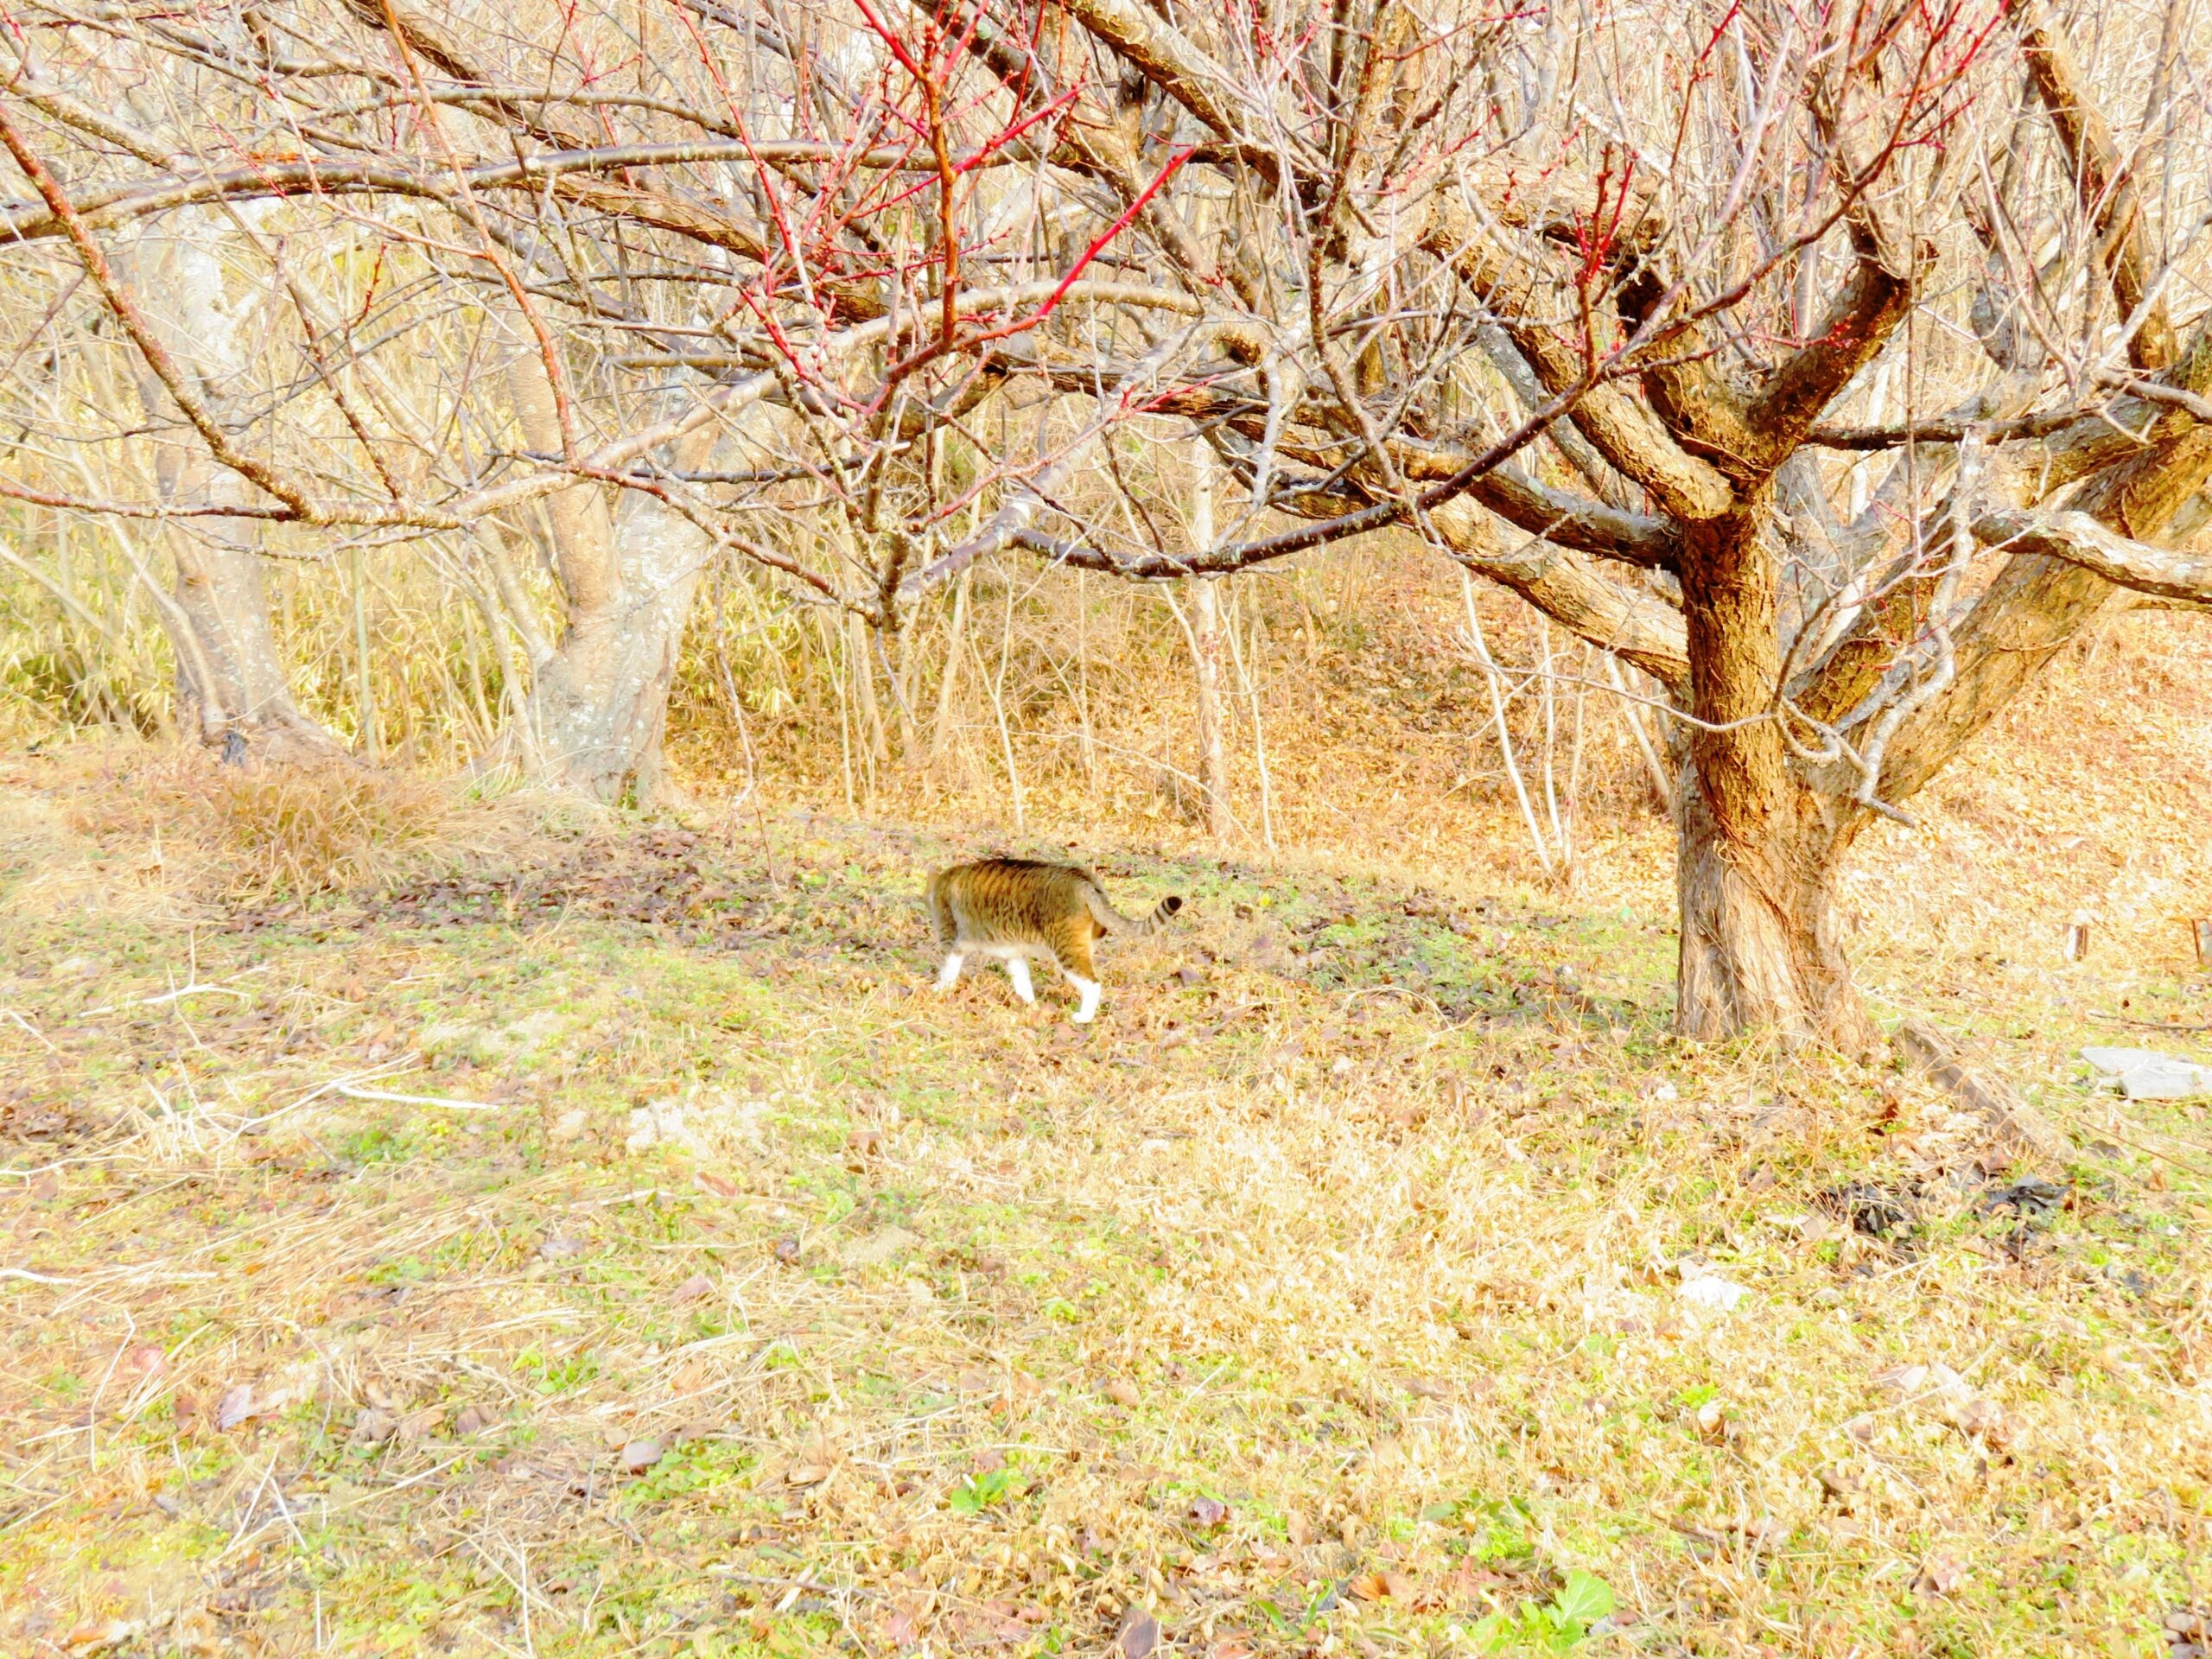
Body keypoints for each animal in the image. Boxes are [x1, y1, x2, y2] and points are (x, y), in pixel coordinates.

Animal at [925, 862, 1185, 1021]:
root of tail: (1082, 878)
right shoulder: (1014, 955)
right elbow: (1022, 981)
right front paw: (1029, 1006)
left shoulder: (951, 941)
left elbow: (948, 971)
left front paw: (938, 989)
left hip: (1066, 950)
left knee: (1093, 983)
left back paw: (1084, 1018)